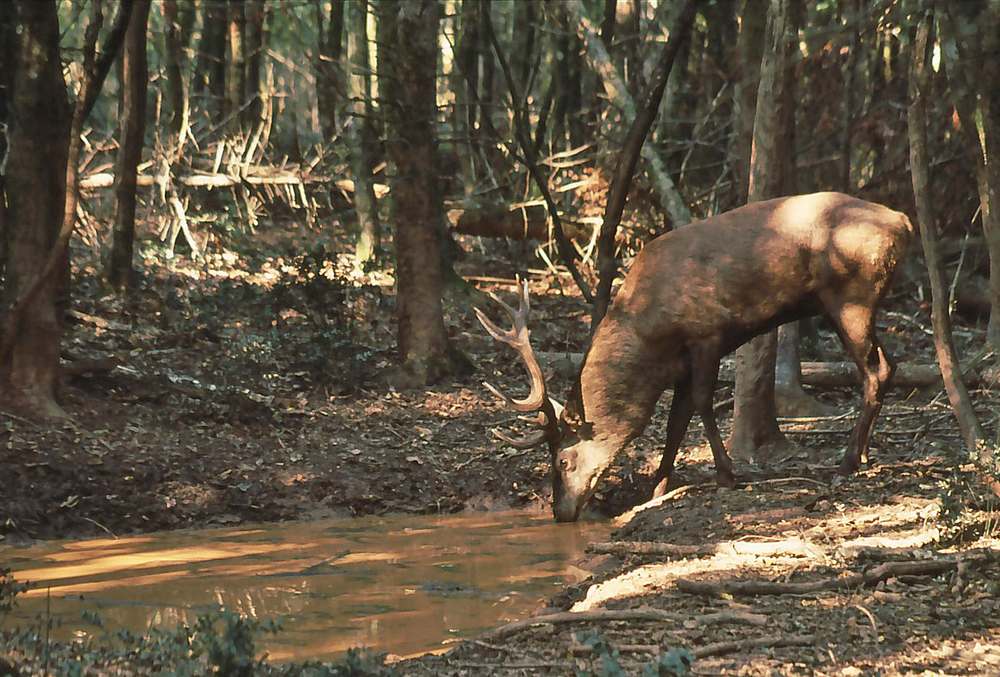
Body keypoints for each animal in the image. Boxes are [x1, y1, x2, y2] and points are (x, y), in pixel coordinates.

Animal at [476, 193, 916, 520]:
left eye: (562, 462)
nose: (560, 513)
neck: (650, 333)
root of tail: (903, 222)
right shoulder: (682, 362)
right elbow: (676, 420)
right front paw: (655, 489)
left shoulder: (708, 333)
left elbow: (703, 403)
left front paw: (726, 473)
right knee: (890, 365)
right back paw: (862, 453)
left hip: (851, 296)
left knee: (875, 371)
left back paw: (848, 460)